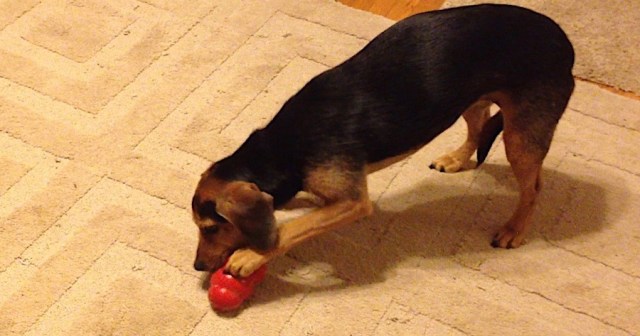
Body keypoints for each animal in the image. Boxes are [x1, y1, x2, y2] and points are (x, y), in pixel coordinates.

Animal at [190, 3, 576, 276]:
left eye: (211, 229)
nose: (197, 267)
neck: (281, 149)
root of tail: (566, 45)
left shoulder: (353, 202)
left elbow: (295, 227)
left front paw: (251, 256)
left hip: (521, 136)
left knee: (532, 188)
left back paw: (514, 229)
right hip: (464, 98)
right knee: (479, 123)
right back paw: (456, 159)